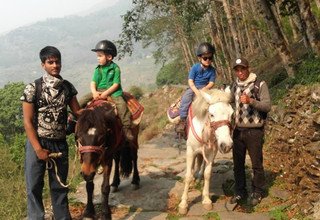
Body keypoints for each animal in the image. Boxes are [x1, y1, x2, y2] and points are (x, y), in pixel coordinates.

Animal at [179, 87, 234, 215]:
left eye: (232, 114)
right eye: (212, 114)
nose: (226, 145)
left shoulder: (211, 153)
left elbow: (207, 174)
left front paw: (206, 200)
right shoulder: (190, 151)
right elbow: (188, 175)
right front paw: (183, 204)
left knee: (201, 164)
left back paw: (198, 178)